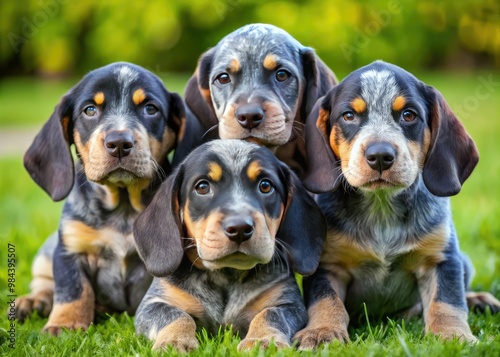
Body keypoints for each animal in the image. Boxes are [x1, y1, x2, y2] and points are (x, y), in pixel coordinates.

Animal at [17, 62, 187, 334]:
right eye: (90, 110)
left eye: (150, 109)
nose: (119, 143)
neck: (123, 208)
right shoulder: (70, 248)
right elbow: (73, 289)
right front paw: (65, 324)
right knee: (43, 283)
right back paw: (34, 301)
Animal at [134, 139, 328, 350]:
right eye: (202, 187)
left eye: (265, 186)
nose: (240, 228)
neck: (226, 276)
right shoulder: (154, 303)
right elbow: (176, 316)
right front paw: (174, 341)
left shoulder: (288, 303)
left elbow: (270, 314)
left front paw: (262, 340)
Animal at [292, 59, 500, 346]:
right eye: (349, 116)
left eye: (408, 115)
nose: (380, 155)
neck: (381, 209)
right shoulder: (328, 263)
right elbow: (326, 301)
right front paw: (322, 330)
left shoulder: (442, 258)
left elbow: (447, 301)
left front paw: (452, 335)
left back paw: (479, 299)